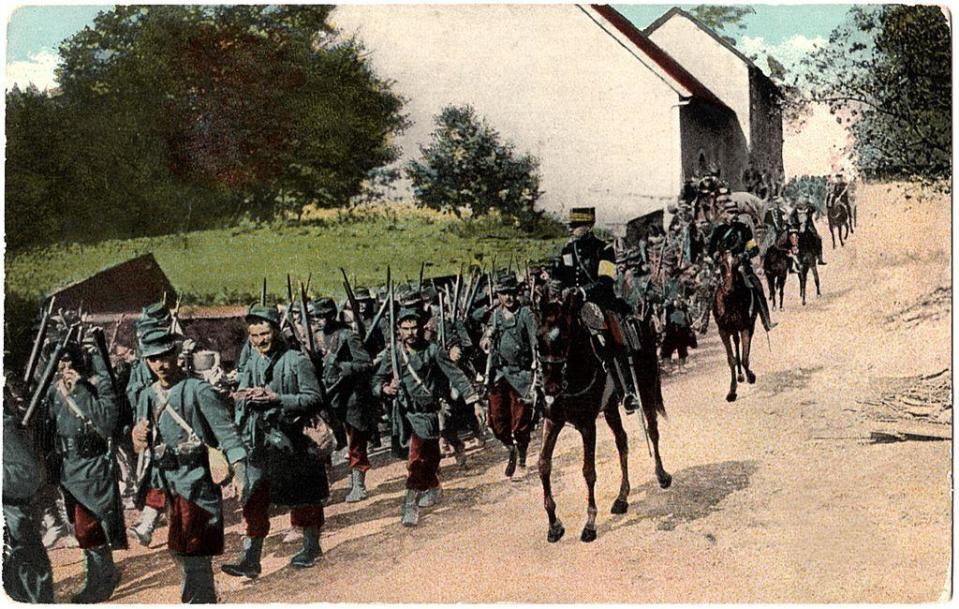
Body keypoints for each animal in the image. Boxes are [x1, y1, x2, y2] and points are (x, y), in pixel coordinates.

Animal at [536, 288, 672, 540]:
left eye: (564, 340)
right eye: (539, 340)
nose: (550, 389)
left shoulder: (587, 425)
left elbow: (588, 471)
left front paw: (590, 524)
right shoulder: (553, 420)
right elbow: (543, 465)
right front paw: (554, 525)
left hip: (647, 391)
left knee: (652, 431)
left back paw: (662, 475)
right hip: (610, 408)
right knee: (622, 441)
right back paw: (622, 498)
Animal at [712, 249, 756, 402]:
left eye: (737, 266)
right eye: (722, 265)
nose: (729, 289)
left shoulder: (745, 327)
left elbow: (745, 358)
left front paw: (751, 376)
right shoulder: (723, 330)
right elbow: (731, 360)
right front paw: (732, 392)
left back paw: (744, 375)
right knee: (736, 342)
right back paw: (740, 375)